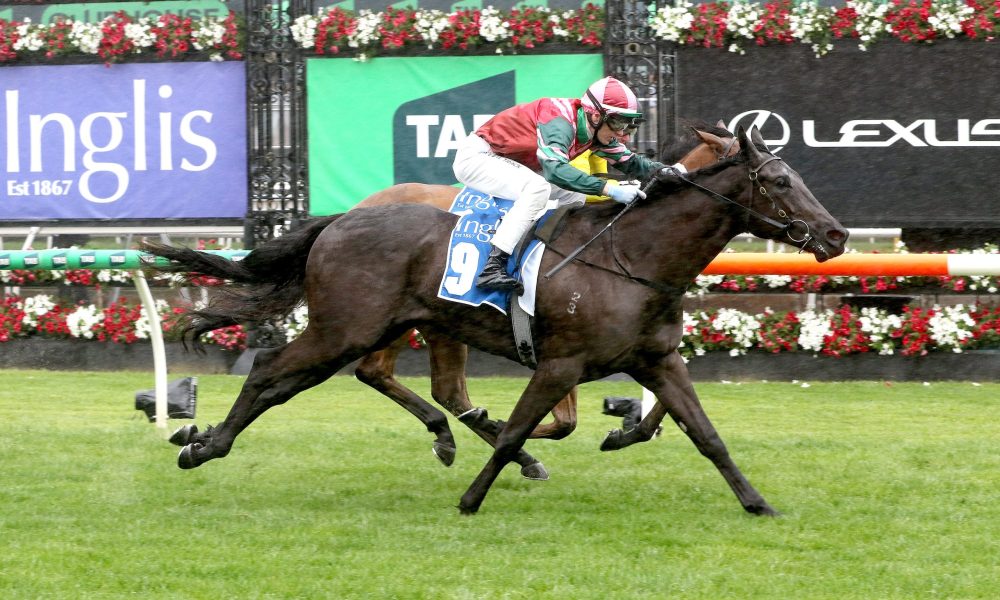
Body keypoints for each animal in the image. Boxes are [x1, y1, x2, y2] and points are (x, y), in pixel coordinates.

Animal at [144, 126, 847, 515]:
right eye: (780, 182)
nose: (837, 234)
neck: (631, 255)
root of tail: (342, 218)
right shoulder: (561, 363)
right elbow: (515, 432)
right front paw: (474, 499)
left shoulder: (657, 359)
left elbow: (706, 436)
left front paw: (757, 503)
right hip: (344, 328)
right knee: (272, 371)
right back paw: (201, 444)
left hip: (386, 326)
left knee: (361, 382)